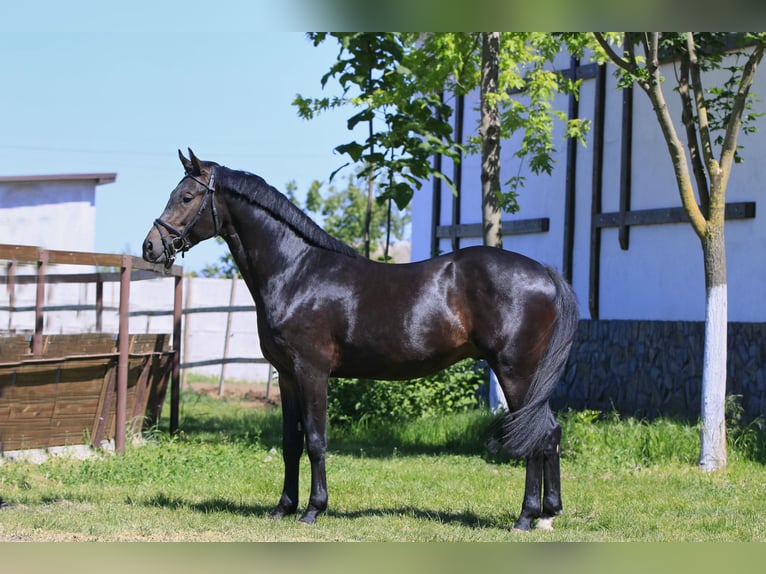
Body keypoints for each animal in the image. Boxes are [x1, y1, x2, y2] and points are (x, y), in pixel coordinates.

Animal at [144, 151, 580, 532]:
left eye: (186, 196)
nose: (151, 246)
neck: (297, 272)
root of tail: (544, 271)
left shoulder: (312, 372)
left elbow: (316, 440)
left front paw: (313, 510)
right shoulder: (286, 375)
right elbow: (290, 442)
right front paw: (283, 508)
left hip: (516, 372)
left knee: (536, 435)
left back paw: (525, 518)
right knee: (549, 433)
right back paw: (547, 515)